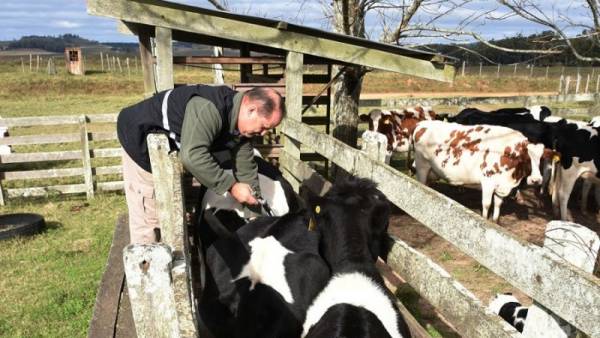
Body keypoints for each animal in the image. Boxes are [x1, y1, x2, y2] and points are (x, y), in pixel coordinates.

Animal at [412, 121, 544, 222]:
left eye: (541, 159)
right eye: (526, 158)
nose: (536, 180)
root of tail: (422, 124)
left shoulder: (501, 186)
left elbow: (497, 205)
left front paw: (495, 222)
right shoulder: (488, 181)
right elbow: (486, 204)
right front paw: (485, 221)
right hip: (422, 167)